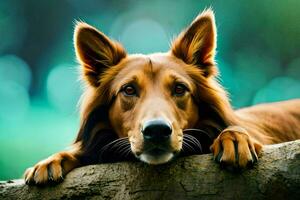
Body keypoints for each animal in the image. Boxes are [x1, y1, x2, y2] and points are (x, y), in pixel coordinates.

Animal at [24, 9, 300, 184]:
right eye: (129, 90)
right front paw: (51, 160)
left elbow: (235, 130)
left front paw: (234, 139)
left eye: (179, 89)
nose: (156, 130)